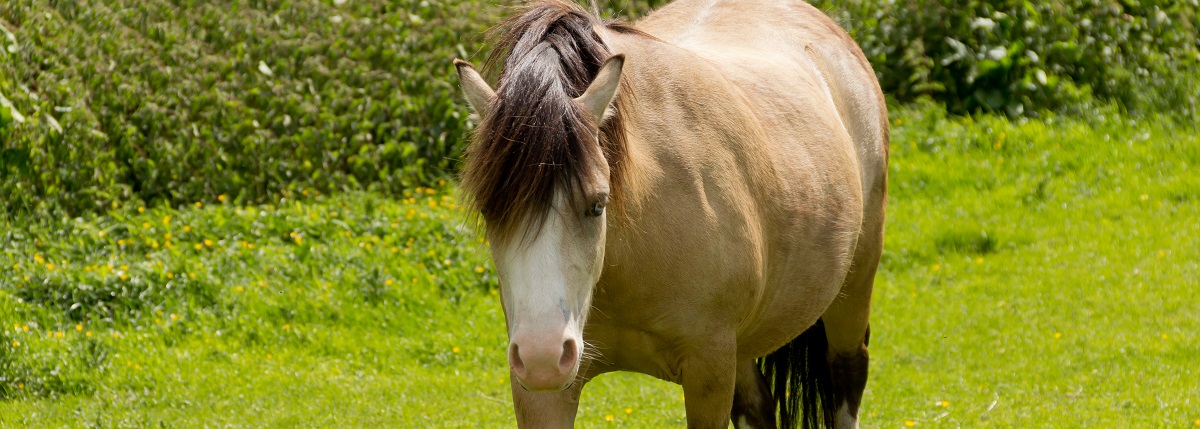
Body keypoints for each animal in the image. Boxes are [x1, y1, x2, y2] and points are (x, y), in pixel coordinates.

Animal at [453, 1, 888, 426]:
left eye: (597, 205)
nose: (542, 357)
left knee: (848, 374)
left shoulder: (708, 371)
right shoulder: (543, 395)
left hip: (853, 291)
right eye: (489, 211)